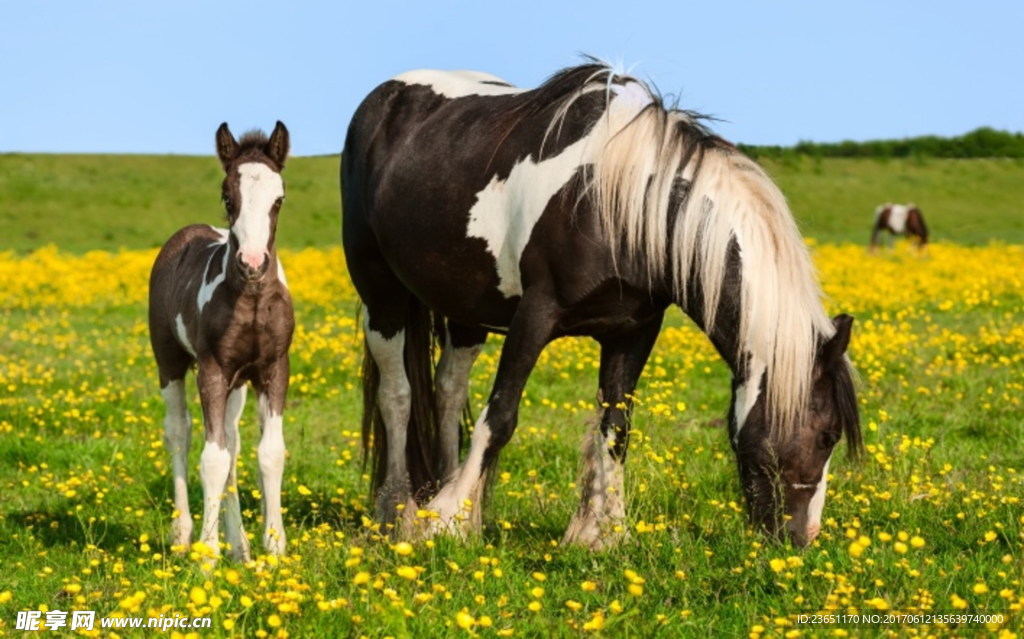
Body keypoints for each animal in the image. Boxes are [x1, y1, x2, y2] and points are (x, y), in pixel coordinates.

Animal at [150, 120, 296, 557]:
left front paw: (273, 549)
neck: (251, 299)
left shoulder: (273, 369)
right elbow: (211, 459)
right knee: (179, 433)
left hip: (238, 384)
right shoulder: (212, 370)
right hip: (169, 362)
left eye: (279, 199)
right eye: (227, 196)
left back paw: (239, 546)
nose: (253, 263)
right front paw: (206, 556)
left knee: (232, 442)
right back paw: (183, 534)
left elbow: (268, 453)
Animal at [339, 62, 860, 544]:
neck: (619, 203)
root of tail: (382, 99)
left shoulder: (632, 330)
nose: (801, 537)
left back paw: (451, 501)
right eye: (827, 435)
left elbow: (616, 426)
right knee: (398, 395)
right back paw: (397, 511)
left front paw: (603, 534)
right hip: (381, 295)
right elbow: (500, 416)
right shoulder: (535, 314)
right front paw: (445, 522)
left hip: (468, 308)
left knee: (448, 391)